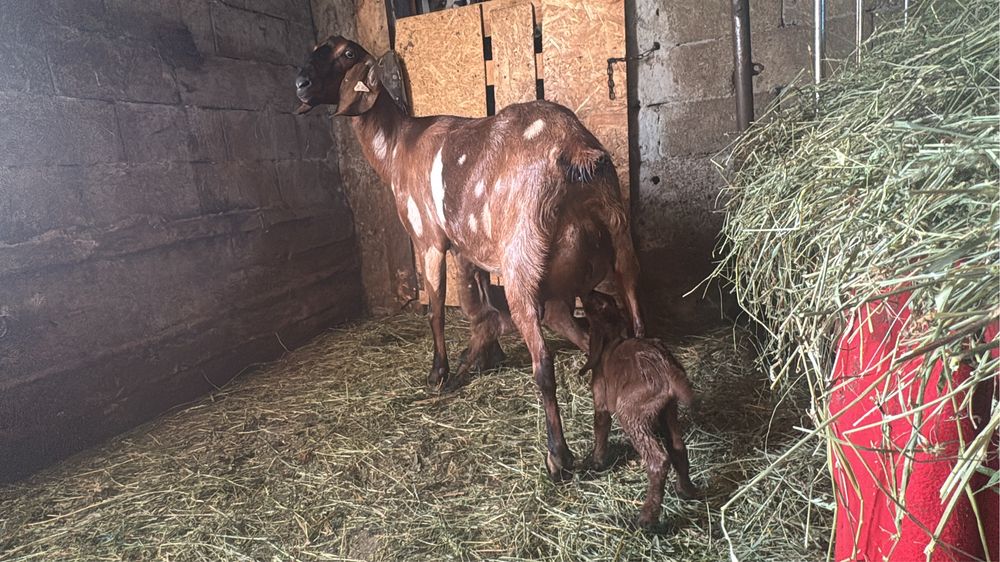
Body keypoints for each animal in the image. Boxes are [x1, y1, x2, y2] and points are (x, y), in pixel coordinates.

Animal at [294, 37, 644, 481]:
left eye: (346, 54)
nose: (301, 84)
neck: (398, 148)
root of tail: (577, 153)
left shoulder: (429, 239)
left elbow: (437, 309)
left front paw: (439, 372)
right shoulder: (466, 246)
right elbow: (475, 300)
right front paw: (482, 356)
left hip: (522, 265)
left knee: (544, 361)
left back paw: (557, 457)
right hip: (619, 246)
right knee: (627, 327)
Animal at [579, 291, 699, 529]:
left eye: (596, 303)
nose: (585, 292)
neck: (611, 340)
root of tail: (666, 368)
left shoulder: (601, 400)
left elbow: (600, 426)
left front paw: (596, 463)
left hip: (631, 412)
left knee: (658, 461)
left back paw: (646, 519)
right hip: (668, 411)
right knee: (678, 448)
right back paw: (686, 490)